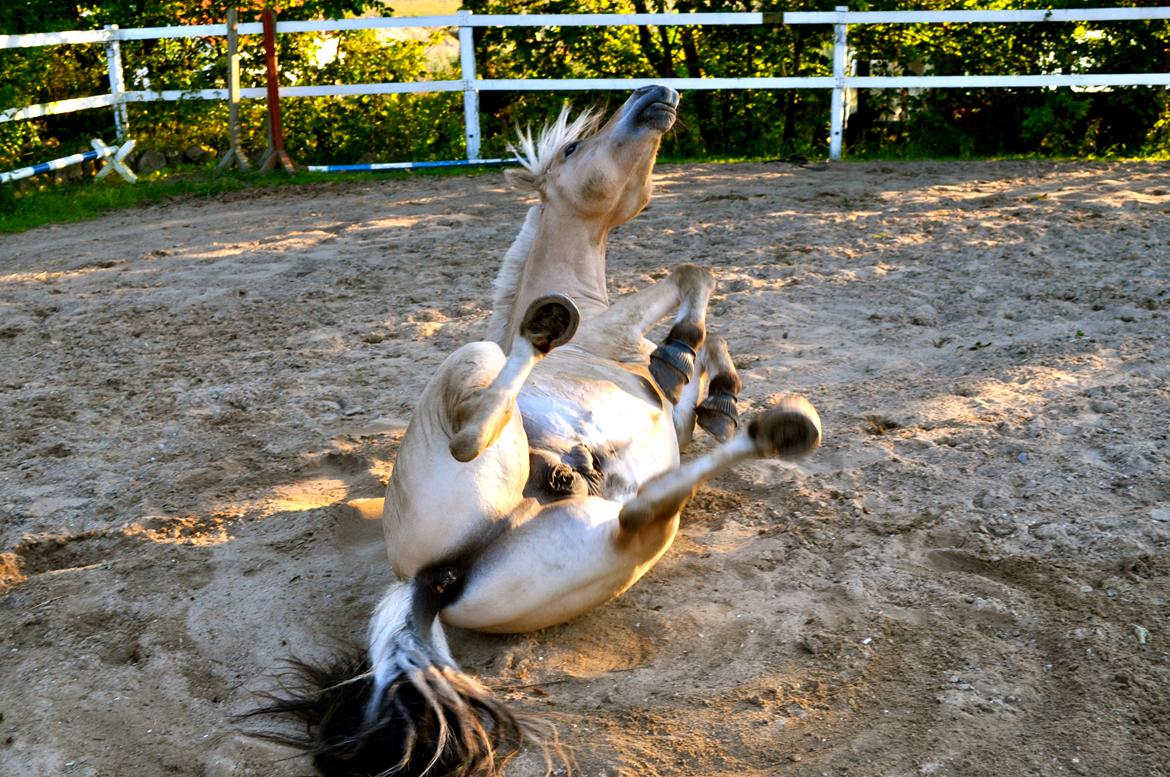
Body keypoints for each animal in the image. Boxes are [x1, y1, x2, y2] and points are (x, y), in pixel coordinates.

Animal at [256, 86, 823, 777]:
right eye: (576, 147)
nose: (657, 94)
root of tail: (433, 579)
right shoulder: (623, 323)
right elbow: (693, 279)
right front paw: (682, 355)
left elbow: (709, 345)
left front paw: (720, 398)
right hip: (479, 371)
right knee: (476, 434)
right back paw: (551, 333)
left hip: (619, 543)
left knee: (644, 511)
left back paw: (776, 431)